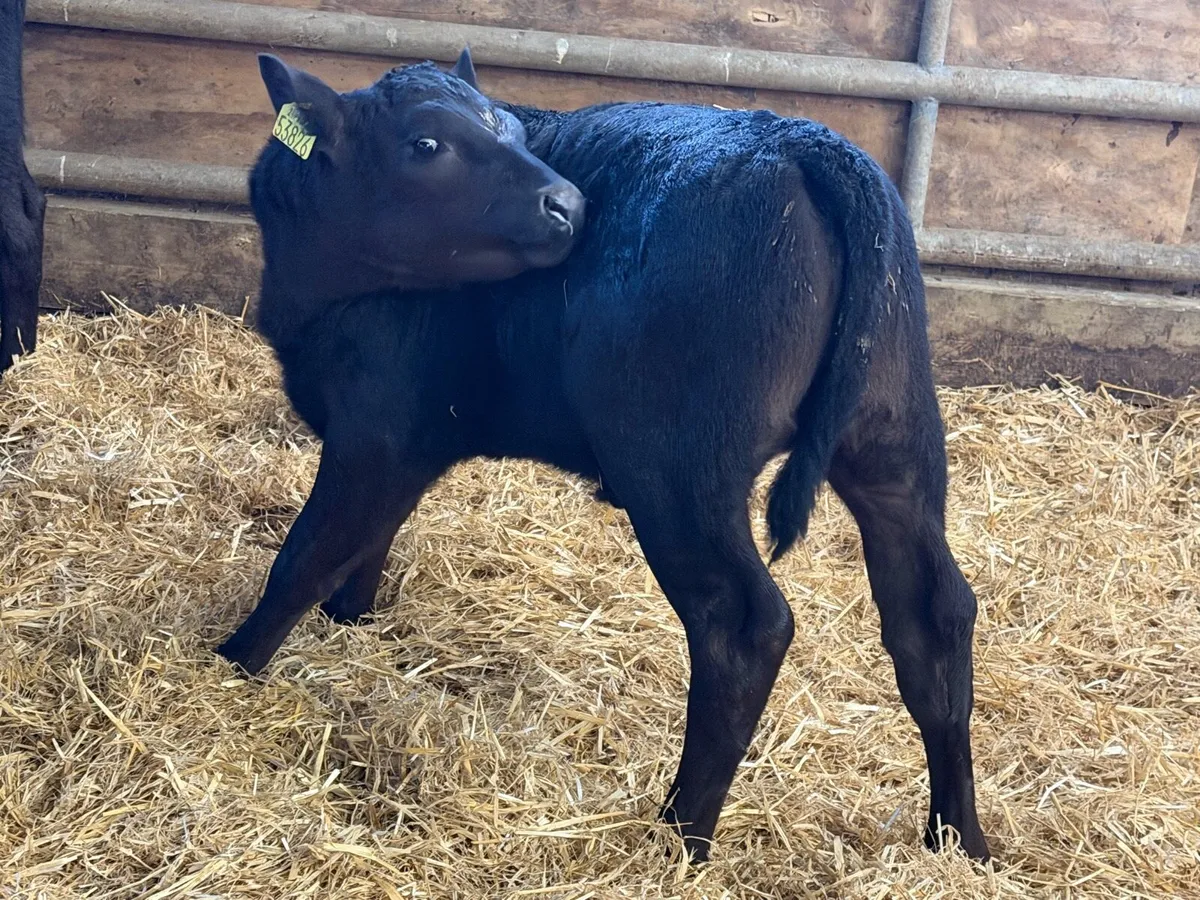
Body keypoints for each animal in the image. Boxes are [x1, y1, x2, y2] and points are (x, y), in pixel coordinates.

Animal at [217, 48, 990, 865]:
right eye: (426, 143)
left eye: (506, 126)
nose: (567, 202)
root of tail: (806, 143)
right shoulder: (410, 440)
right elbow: (371, 540)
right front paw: (351, 619)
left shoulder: (377, 426)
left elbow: (307, 555)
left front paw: (232, 661)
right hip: (894, 443)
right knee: (934, 613)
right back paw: (959, 836)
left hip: (678, 471)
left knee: (744, 626)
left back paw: (682, 835)